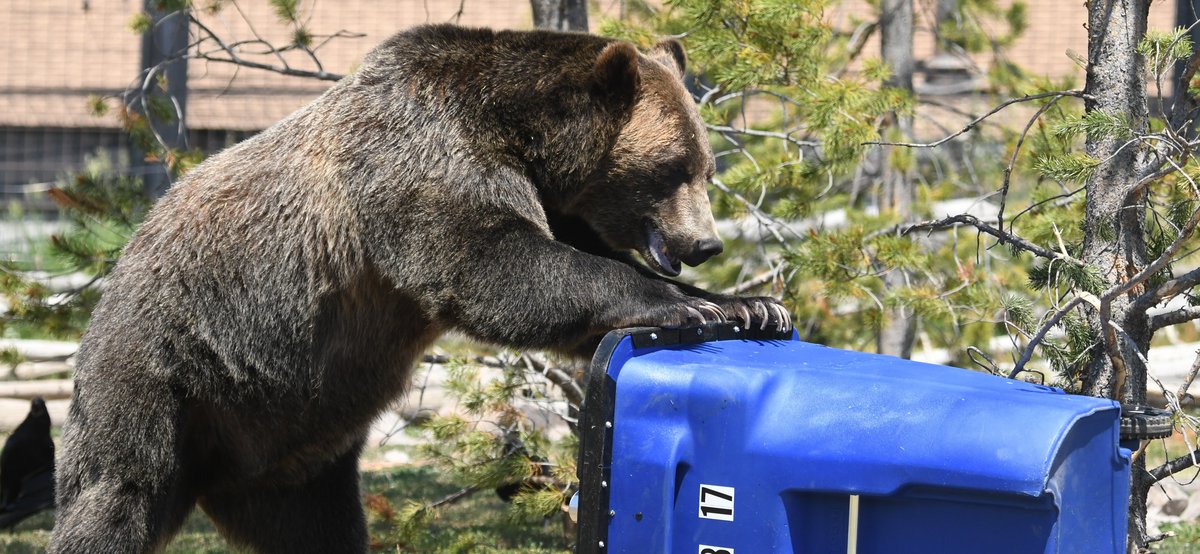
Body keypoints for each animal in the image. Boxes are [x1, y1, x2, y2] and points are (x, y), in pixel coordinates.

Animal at [49, 23, 787, 551]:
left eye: (707, 167)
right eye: (675, 168)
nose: (706, 245)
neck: (523, 139)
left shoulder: (547, 201)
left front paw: (752, 304)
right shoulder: (420, 158)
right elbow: (496, 266)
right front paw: (685, 305)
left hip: (293, 452)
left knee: (321, 528)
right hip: (163, 375)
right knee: (116, 495)